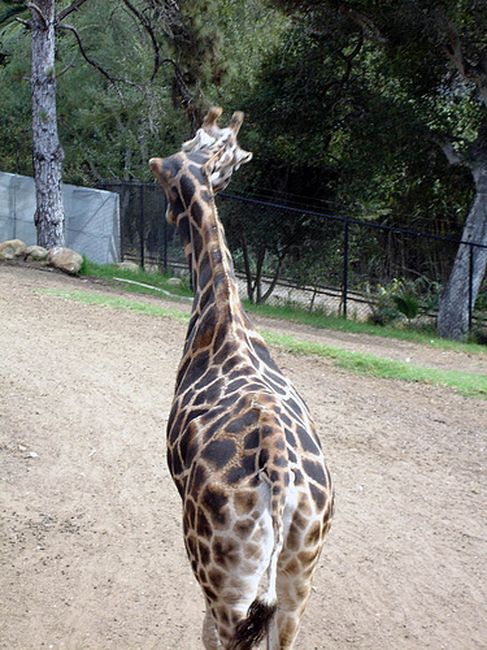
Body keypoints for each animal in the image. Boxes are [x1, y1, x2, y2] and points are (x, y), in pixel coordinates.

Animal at [149, 107, 334, 650]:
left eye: (226, 165)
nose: (169, 215)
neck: (222, 312)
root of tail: (281, 478)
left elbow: (204, 631)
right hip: (298, 575)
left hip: (223, 573)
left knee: (220, 630)